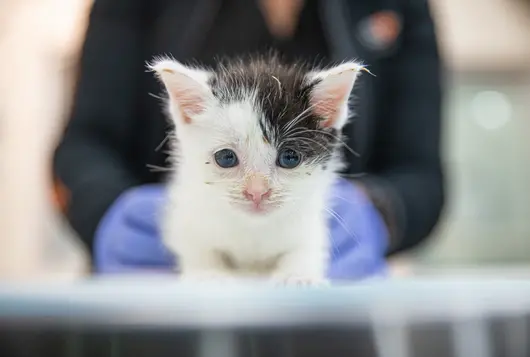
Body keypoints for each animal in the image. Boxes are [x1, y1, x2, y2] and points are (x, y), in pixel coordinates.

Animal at [148, 55, 364, 284]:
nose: (257, 191)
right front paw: (208, 273)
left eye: (290, 158)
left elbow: (306, 247)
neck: (253, 228)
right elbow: (196, 243)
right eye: (226, 158)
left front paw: (298, 275)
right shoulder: (187, 209)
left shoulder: (309, 221)